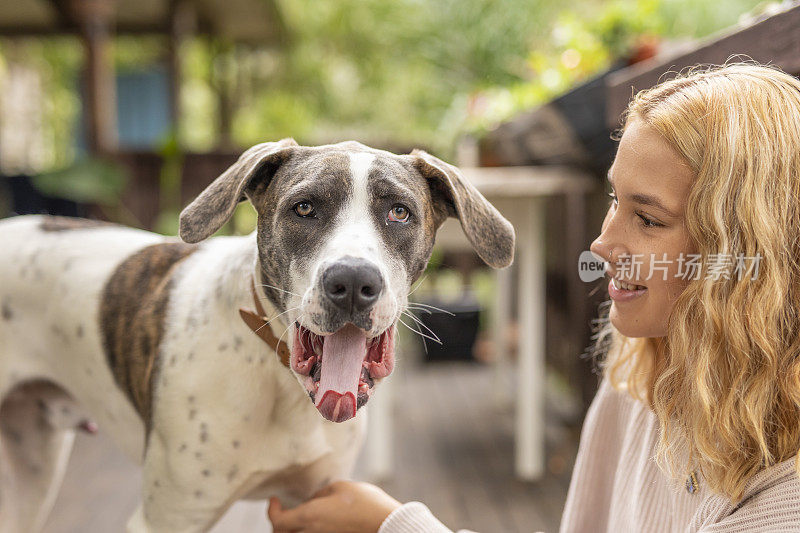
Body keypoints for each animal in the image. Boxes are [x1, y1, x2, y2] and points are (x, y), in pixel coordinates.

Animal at [0, 139, 512, 528]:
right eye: (303, 208)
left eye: (400, 213)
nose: (351, 282)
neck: (282, 386)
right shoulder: (167, 517)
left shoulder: (310, 500)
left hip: (32, 467)